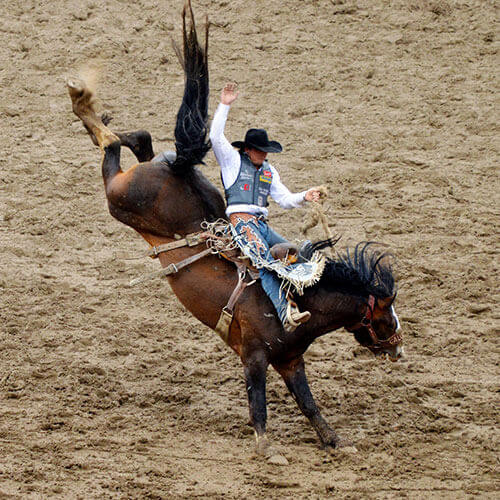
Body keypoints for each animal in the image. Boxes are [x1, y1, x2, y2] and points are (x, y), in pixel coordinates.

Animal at [67, 0, 402, 458]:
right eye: (385, 314)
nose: (399, 347)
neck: (299, 298)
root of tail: (179, 169)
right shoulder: (255, 356)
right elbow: (257, 400)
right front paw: (265, 447)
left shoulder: (290, 360)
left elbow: (309, 403)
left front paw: (334, 440)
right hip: (120, 200)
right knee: (111, 147)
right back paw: (83, 100)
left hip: (143, 180)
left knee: (142, 141)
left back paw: (106, 118)